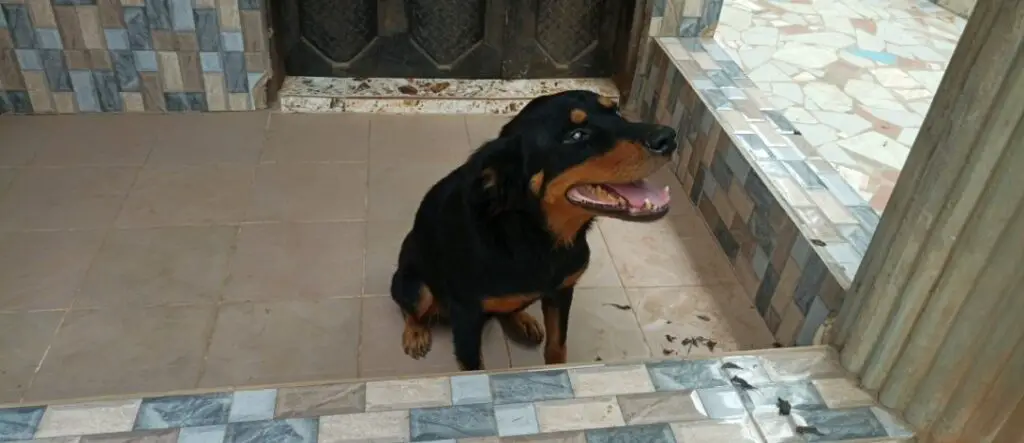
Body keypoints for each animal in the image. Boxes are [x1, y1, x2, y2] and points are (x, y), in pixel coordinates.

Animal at [391, 90, 679, 370]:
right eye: (576, 136)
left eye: (616, 112)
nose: (669, 138)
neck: (535, 236)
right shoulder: (466, 315)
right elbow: (473, 367)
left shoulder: (562, 291)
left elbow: (557, 346)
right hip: (414, 286)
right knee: (411, 308)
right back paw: (415, 333)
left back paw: (522, 321)